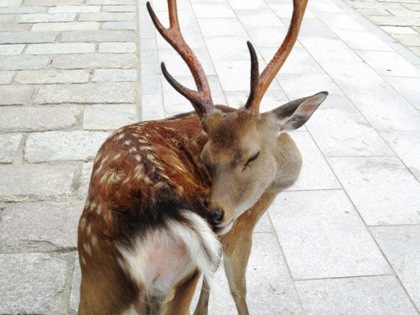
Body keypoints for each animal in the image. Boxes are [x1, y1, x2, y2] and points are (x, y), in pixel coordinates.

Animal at [78, 0, 328, 314]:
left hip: (109, 279)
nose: (215, 214)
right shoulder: (237, 230)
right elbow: (237, 288)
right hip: (122, 270)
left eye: (252, 156)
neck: (276, 186)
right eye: (206, 158)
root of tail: (161, 207)